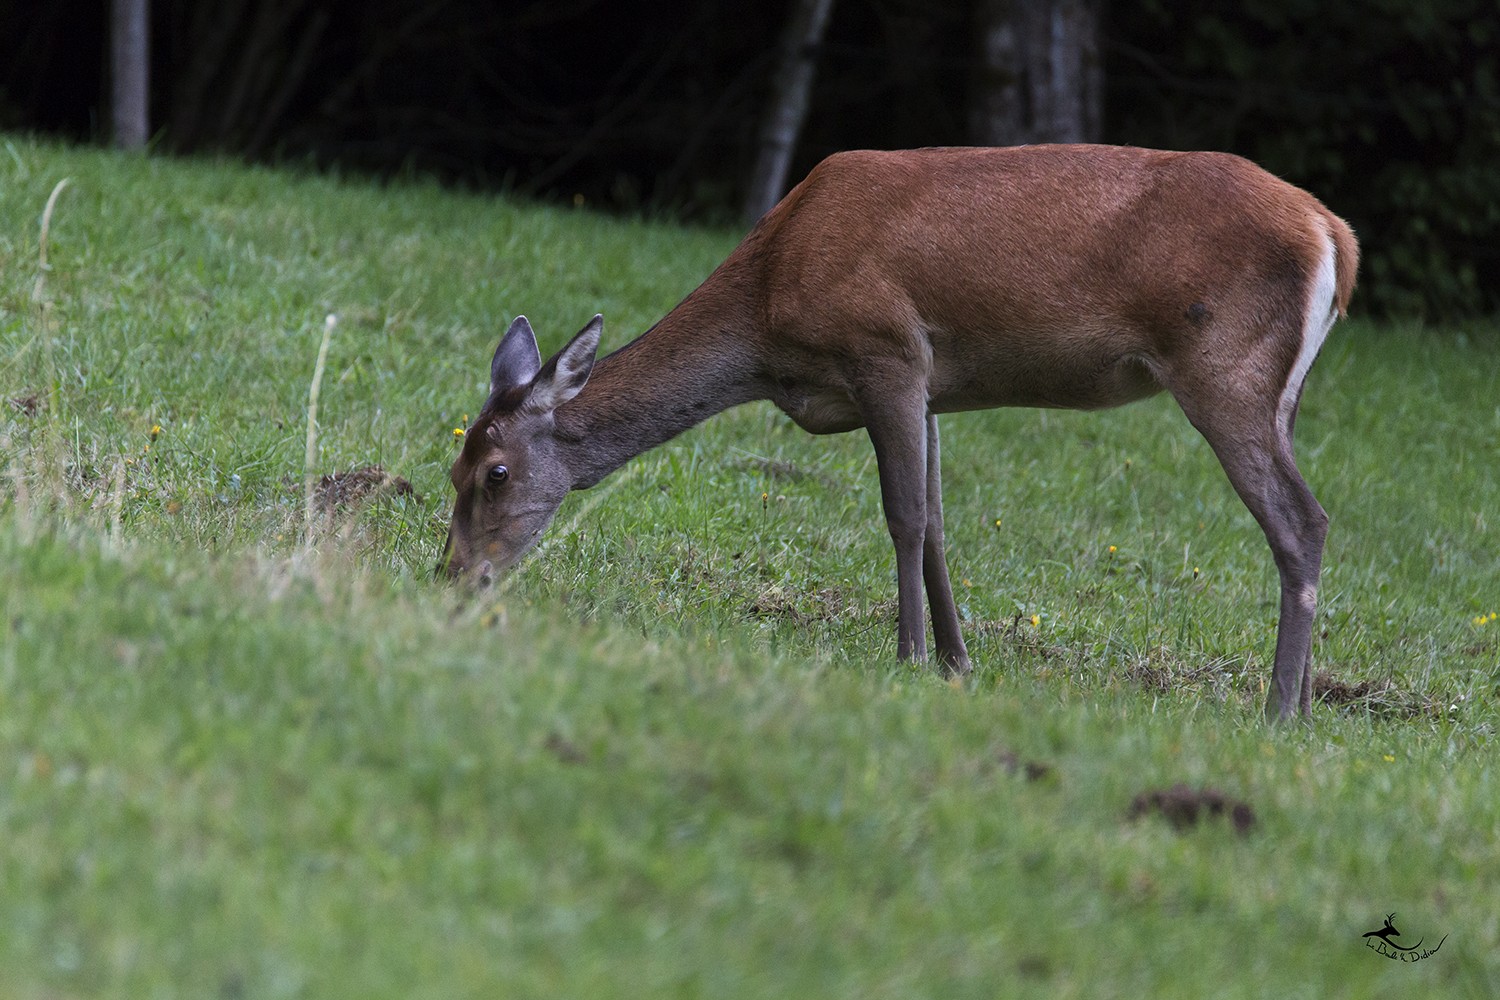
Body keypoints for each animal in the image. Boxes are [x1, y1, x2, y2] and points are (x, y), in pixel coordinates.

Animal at [438, 142, 1362, 719]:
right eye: (453, 469)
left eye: (495, 472)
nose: (452, 576)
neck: (767, 321)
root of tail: (1337, 237)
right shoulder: (933, 387)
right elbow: (942, 522)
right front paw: (958, 661)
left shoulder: (885, 347)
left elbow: (905, 517)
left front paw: (910, 658)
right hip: (1280, 392)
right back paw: (1307, 708)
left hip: (1224, 366)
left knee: (1303, 519)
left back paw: (1279, 712)